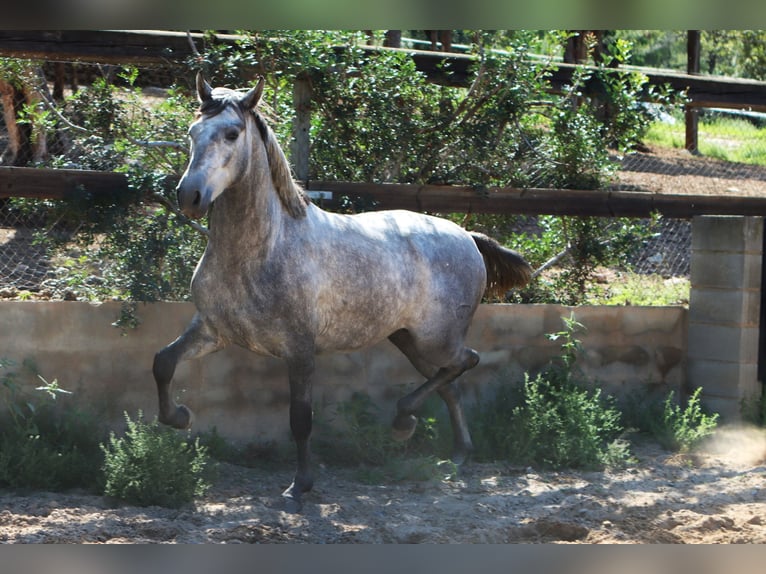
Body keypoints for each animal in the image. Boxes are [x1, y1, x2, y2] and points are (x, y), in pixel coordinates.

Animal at [153, 73, 532, 512]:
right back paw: (455, 454)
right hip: (408, 339)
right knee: (449, 382)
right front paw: (180, 417)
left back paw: (405, 423)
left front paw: (299, 486)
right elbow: (163, 362)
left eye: (232, 133)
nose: (189, 196)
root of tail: (467, 236)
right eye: (192, 131)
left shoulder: (299, 349)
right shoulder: (213, 330)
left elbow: (301, 418)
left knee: (465, 361)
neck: (263, 248)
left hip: (436, 338)